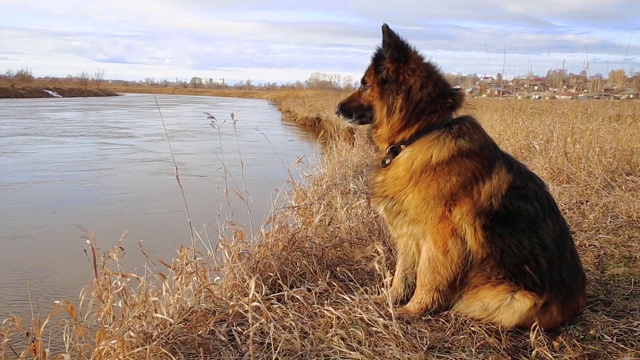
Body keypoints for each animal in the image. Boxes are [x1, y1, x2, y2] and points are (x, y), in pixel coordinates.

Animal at [338, 24, 588, 330]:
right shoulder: (409, 231)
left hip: (516, 302)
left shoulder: (442, 235)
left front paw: (413, 310)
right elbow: (403, 271)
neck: (422, 134)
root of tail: (577, 303)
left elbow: (427, 274)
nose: (336, 109)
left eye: (364, 84)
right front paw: (390, 299)